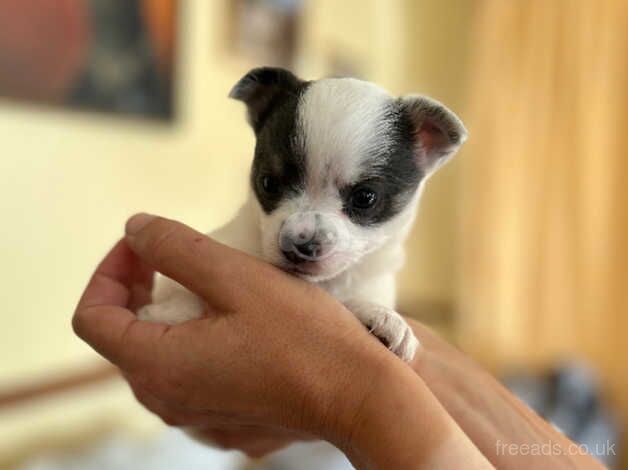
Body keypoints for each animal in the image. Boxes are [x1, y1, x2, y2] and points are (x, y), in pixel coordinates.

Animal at [137, 66, 466, 362]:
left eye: (365, 198)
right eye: (268, 183)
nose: (301, 244)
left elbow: (351, 302)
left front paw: (383, 317)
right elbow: (180, 297)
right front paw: (168, 312)